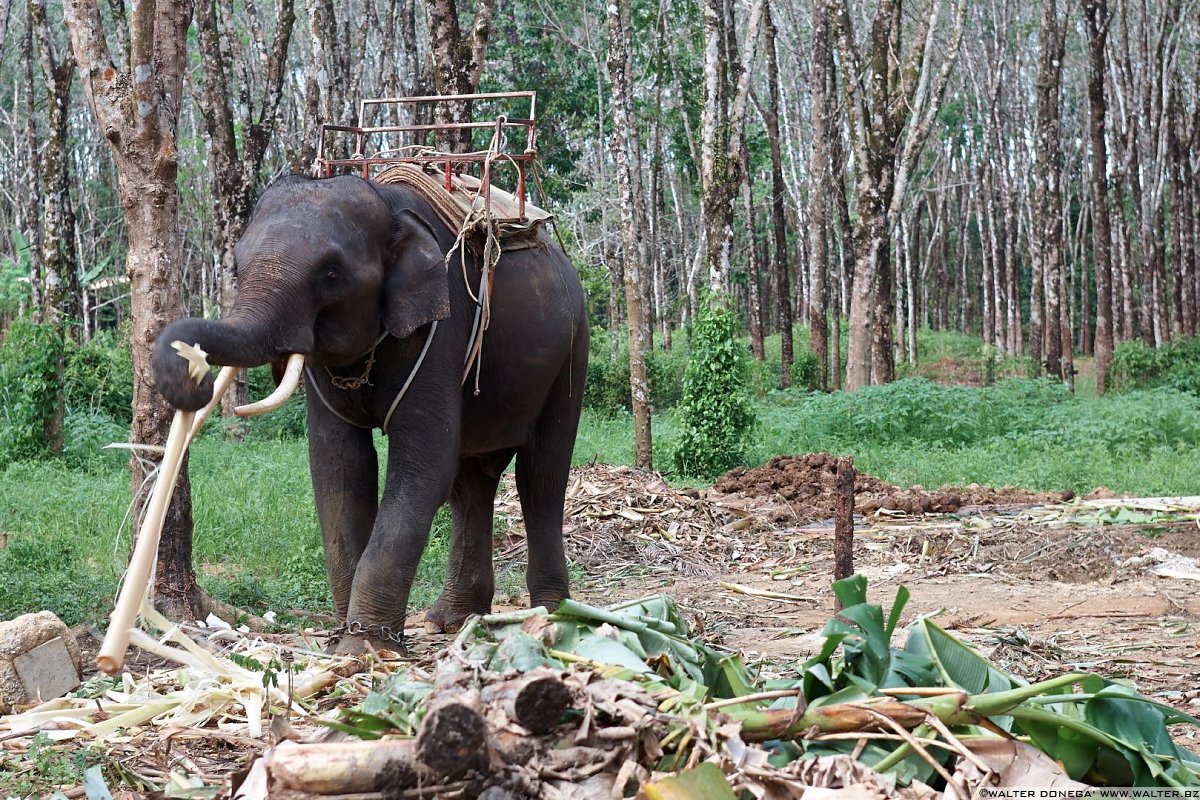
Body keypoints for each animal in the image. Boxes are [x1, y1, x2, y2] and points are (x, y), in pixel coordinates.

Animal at [156, 173, 590, 652]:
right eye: (236, 265)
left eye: (332, 274)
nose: (192, 373)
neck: (386, 204)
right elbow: (341, 467)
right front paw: (345, 642)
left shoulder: (440, 331)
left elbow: (421, 468)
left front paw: (365, 648)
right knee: (472, 481)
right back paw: (451, 620)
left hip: (571, 351)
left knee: (541, 474)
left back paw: (554, 616)